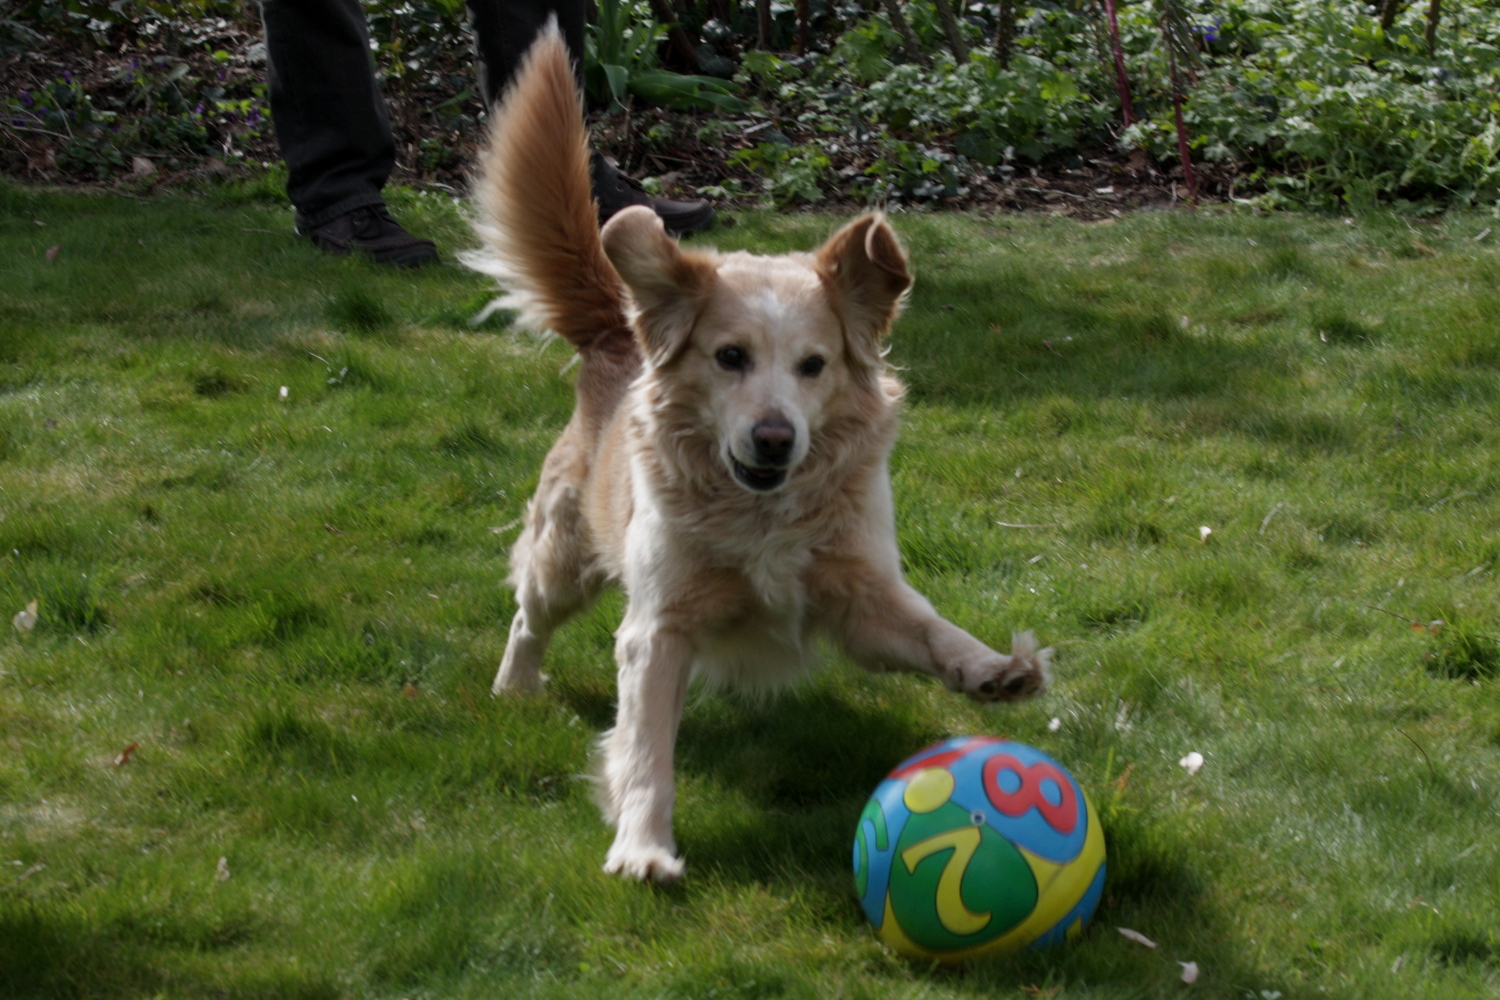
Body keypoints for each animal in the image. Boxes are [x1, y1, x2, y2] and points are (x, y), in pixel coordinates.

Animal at [468, 23, 1056, 881]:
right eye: (730, 358)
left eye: (814, 366)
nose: (774, 437)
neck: (763, 512)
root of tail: (619, 326)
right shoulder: (658, 628)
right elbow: (646, 751)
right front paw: (643, 845)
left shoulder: (861, 595)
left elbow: (929, 629)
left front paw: (990, 669)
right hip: (565, 556)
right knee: (527, 613)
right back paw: (515, 687)